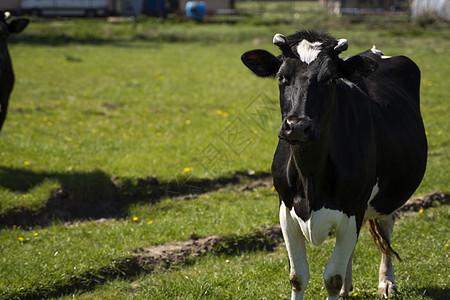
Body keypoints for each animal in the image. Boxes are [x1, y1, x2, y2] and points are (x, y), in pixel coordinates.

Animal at [241, 31, 428, 300]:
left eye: (330, 78)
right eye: (282, 77)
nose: (297, 126)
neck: (310, 181)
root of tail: (374, 53)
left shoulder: (353, 209)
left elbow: (332, 278)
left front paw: (346, 285)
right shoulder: (285, 209)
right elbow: (298, 277)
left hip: (388, 195)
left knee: (386, 230)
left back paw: (386, 282)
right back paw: (348, 288)